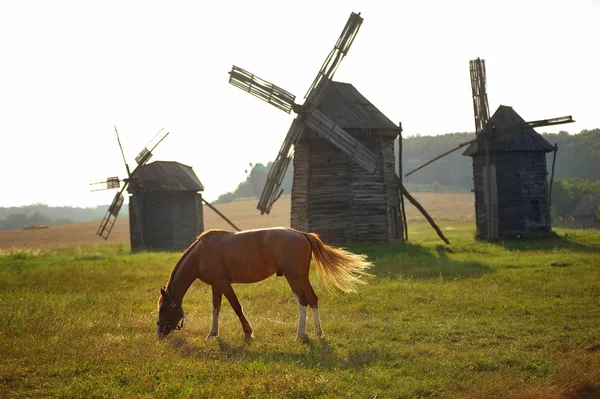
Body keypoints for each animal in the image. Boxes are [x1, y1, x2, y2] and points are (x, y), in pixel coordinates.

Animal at [155, 228, 372, 340]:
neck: (202, 253)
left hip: (294, 278)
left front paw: (248, 332)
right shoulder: (216, 285)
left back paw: (301, 333)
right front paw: (212, 333)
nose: (159, 333)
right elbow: (216, 308)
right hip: (303, 278)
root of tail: (302, 234)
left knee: (302, 302)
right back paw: (318, 332)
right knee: (313, 300)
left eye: (163, 309)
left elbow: (236, 307)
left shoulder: (224, 284)